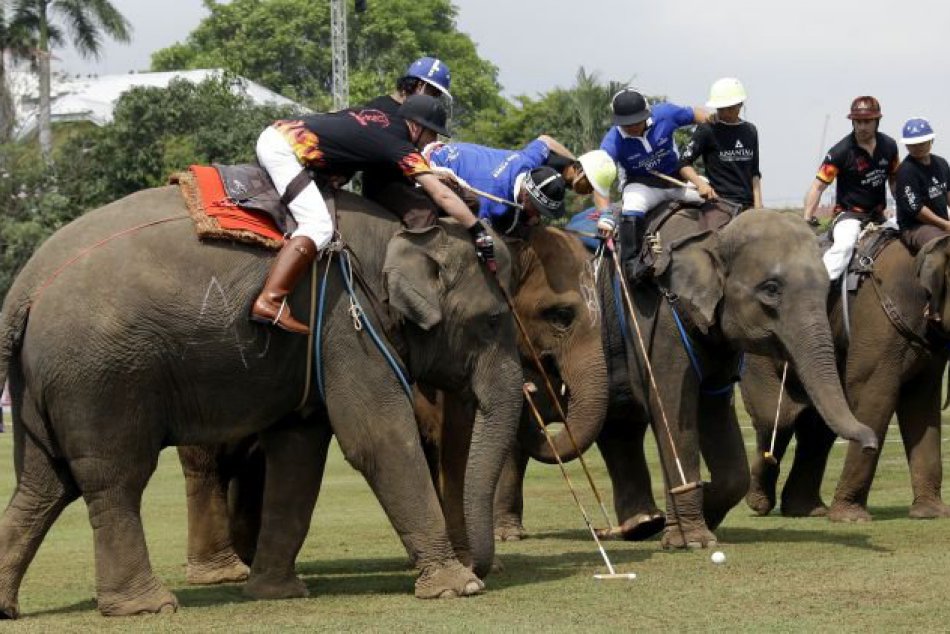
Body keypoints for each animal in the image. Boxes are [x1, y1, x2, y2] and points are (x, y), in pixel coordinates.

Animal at [0, 185, 524, 616]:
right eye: (495, 320)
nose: (483, 565)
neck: (396, 234)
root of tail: (23, 288)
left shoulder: (316, 344)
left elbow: (299, 453)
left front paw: (276, 592)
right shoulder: (346, 322)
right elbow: (377, 439)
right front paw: (458, 587)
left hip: (42, 385)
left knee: (43, 485)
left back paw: (9, 607)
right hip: (101, 379)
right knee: (114, 479)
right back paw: (146, 606)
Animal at [512, 207, 884, 548]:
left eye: (826, 288)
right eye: (771, 289)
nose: (870, 442)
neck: (713, 235)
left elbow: (717, 417)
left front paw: (699, 514)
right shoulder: (659, 321)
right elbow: (673, 414)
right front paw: (692, 540)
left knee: (619, 428)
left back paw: (642, 525)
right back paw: (512, 532)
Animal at [744, 231, 950, 520]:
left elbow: (921, 404)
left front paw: (931, 513)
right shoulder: (878, 324)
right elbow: (873, 397)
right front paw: (850, 517)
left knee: (816, 426)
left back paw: (807, 510)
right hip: (759, 347)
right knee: (778, 418)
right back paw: (760, 502)